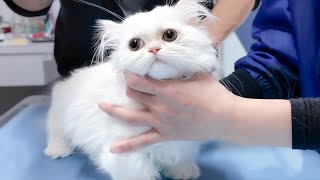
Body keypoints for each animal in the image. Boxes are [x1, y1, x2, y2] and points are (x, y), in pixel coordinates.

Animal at [44, 0, 220, 179]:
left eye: (170, 35)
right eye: (134, 44)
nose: (154, 49)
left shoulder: (184, 141)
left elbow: (179, 158)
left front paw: (183, 171)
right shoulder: (122, 151)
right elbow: (140, 172)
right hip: (59, 117)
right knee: (55, 131)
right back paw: (57, 150)